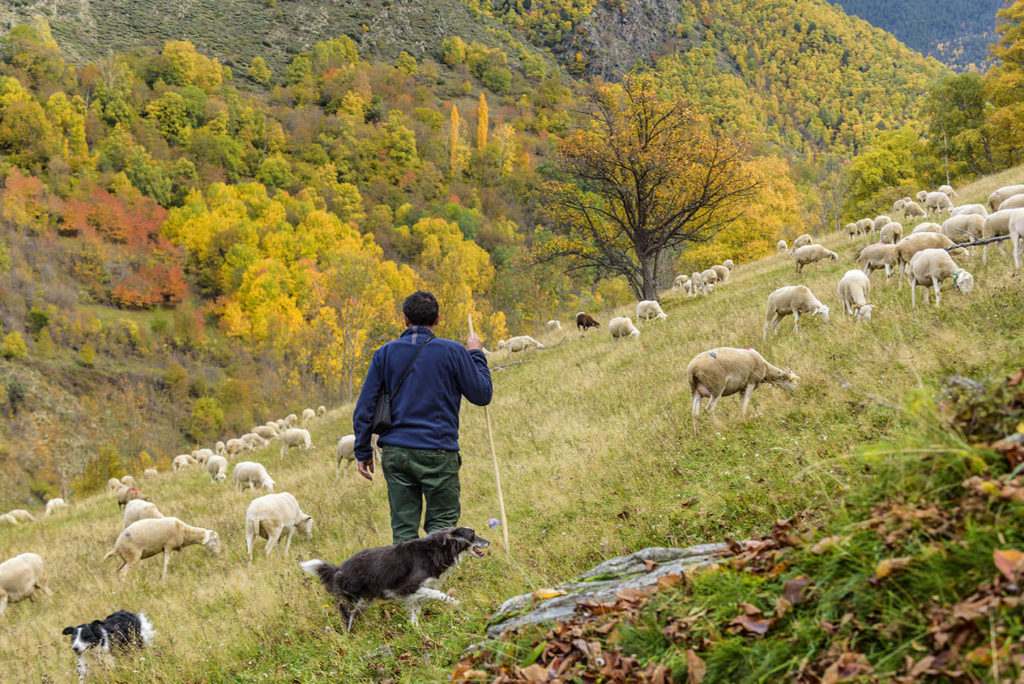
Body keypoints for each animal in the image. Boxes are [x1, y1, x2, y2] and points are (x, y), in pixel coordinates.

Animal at [299, 524, 487, 630]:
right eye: (473, 534)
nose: (488, 542)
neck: (439, 549)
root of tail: (339, 569)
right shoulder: (406, 587)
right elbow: (438, 594)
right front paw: (455, 602)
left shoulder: (414, 595)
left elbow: (415, 613)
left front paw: (417, 631)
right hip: (349, 602)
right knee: (346, 625)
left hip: (363, 602)